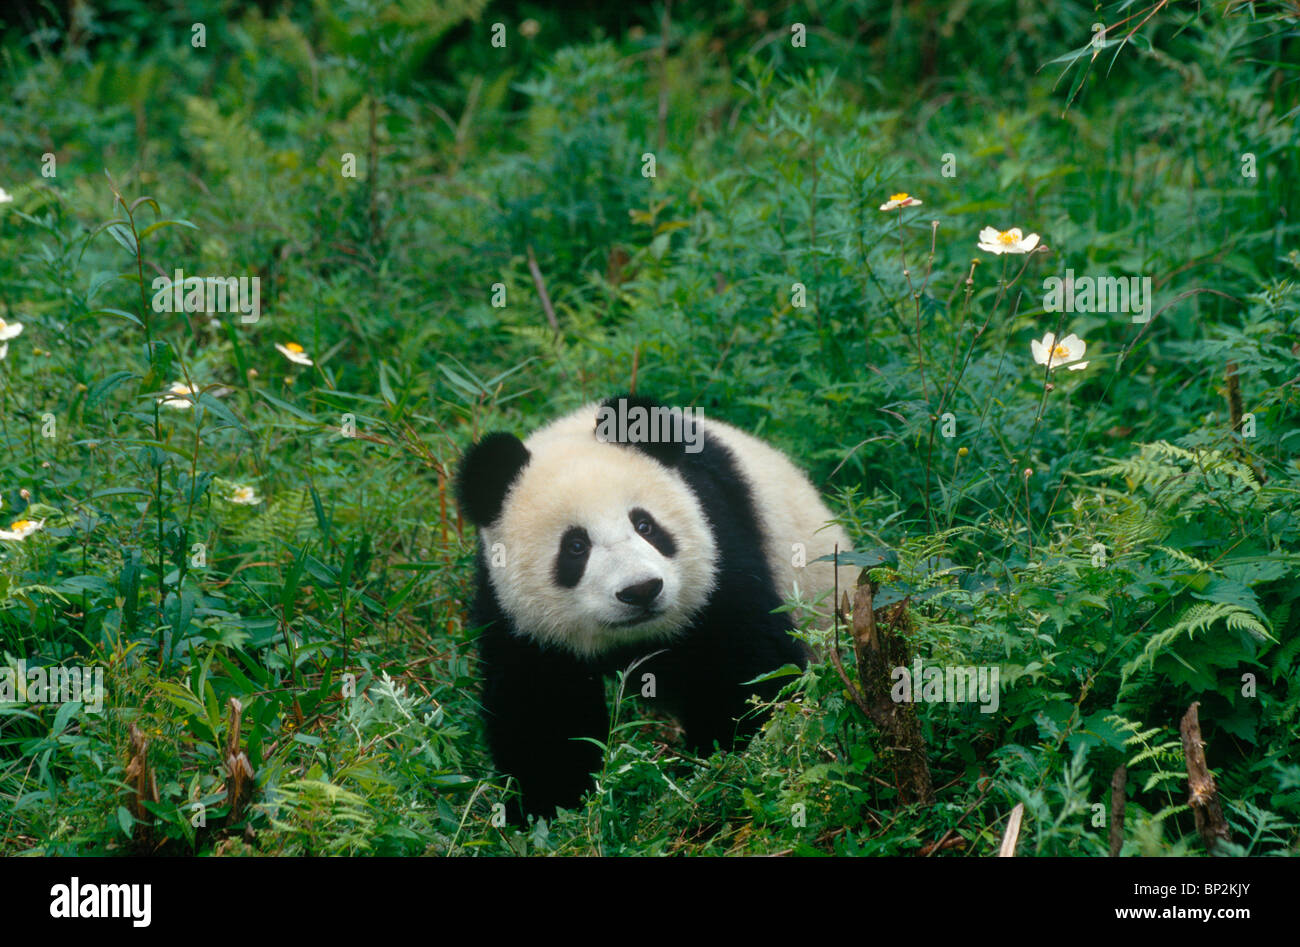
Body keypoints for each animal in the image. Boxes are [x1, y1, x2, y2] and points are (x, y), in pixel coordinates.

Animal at [457, 392, 852, 822]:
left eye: (645, 525)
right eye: (575, 546)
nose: (641, 590)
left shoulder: (718, 547)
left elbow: (747, 666)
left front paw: (720, 765)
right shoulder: (515, 614)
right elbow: (540, 707)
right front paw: (551, 805)